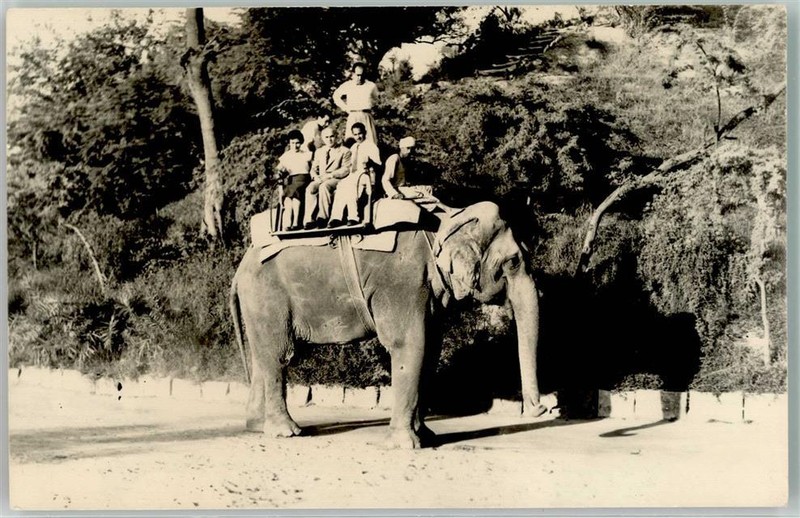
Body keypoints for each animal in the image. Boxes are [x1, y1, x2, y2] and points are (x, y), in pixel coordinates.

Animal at [229, 201, 547, 448]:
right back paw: (287, 432)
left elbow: (431, 350)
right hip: (267, 295)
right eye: (514, 262)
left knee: (262, 355)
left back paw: (258, 426)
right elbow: (411, 345)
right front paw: (405, 445)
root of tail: (239, 270)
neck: (447, 219)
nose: (540, 408)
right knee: (279, 355)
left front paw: (426, 437)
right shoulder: (402, 281)